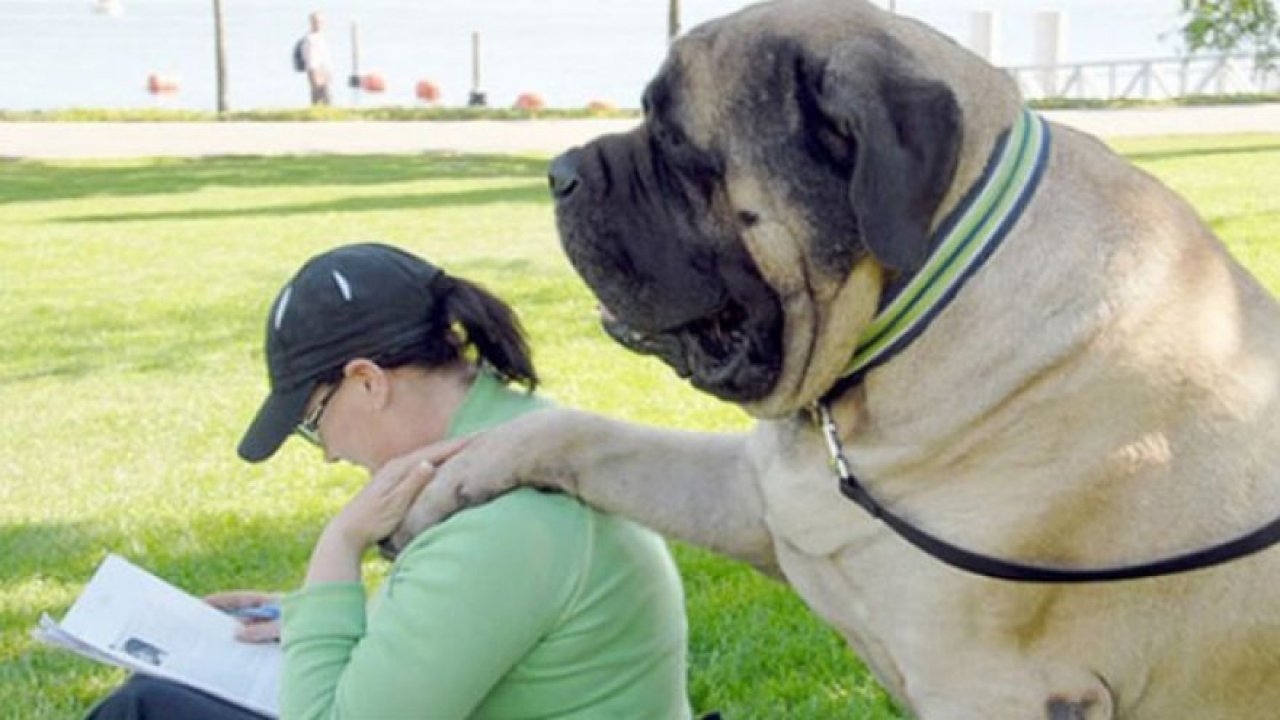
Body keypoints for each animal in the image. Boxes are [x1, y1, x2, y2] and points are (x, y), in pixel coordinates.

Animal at [394, 1, 1274, 717]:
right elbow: (591, 436)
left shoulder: (992, 687)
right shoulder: (762, 502)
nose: (560, 172)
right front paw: (452, 473)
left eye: (676, 144)